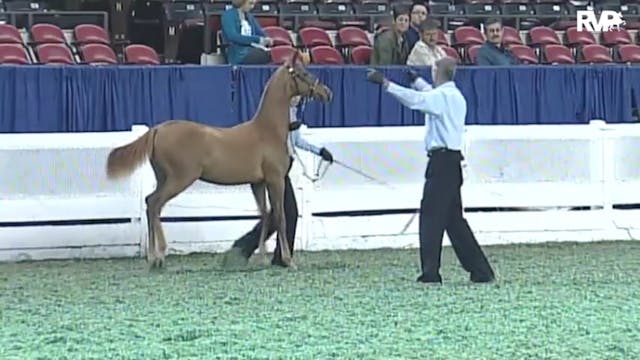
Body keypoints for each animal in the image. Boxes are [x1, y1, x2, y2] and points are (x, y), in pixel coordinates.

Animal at [103, 52, 332, 268]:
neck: (268, 131)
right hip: (179, 179)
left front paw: (260, 258)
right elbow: (281, 217)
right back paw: (159, 257)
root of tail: (157, 129)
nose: (327, 93)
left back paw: (153, 258)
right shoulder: (275, 180)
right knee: (154, 203)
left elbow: (265, 215)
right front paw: (287, 260)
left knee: (150, 203)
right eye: (303, 73)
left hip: (163, 178)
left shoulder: (258, 183)